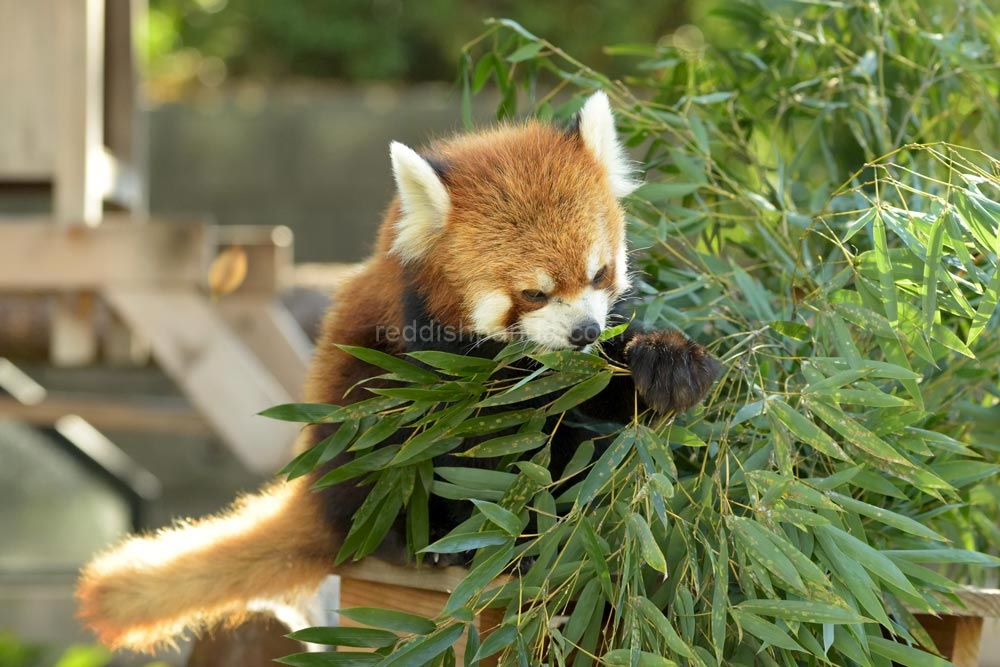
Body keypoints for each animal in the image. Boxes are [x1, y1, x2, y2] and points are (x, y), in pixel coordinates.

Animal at [78, 92, 720, 652]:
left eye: (598, 274)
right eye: (533, 294)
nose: (584, 332)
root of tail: (318, 494)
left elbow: (591, 396)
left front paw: (668, 365)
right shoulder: (433, 362)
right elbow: (480, 444)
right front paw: (508, 532)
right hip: (356, 430)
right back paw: (428, 544)